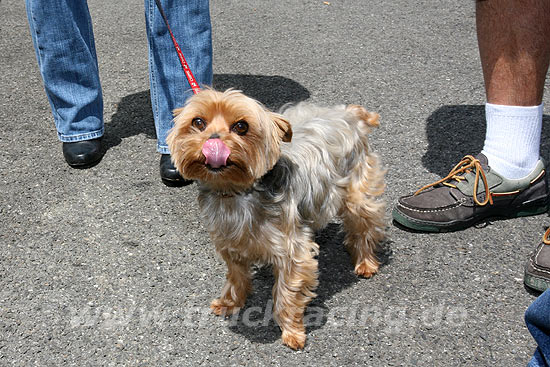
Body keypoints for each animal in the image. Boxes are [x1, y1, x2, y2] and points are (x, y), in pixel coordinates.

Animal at [168, 89, 388, 350]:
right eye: (198, 122)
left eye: (241, 126)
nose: (212, 142)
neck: (236, 193)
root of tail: (351, 113)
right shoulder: (229, 241)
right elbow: (236, 275)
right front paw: (230, 302)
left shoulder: (293, 252)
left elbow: (286, 292)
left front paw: (292, 332)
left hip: (357, 186)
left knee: (364, 223)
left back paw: (365, 262)